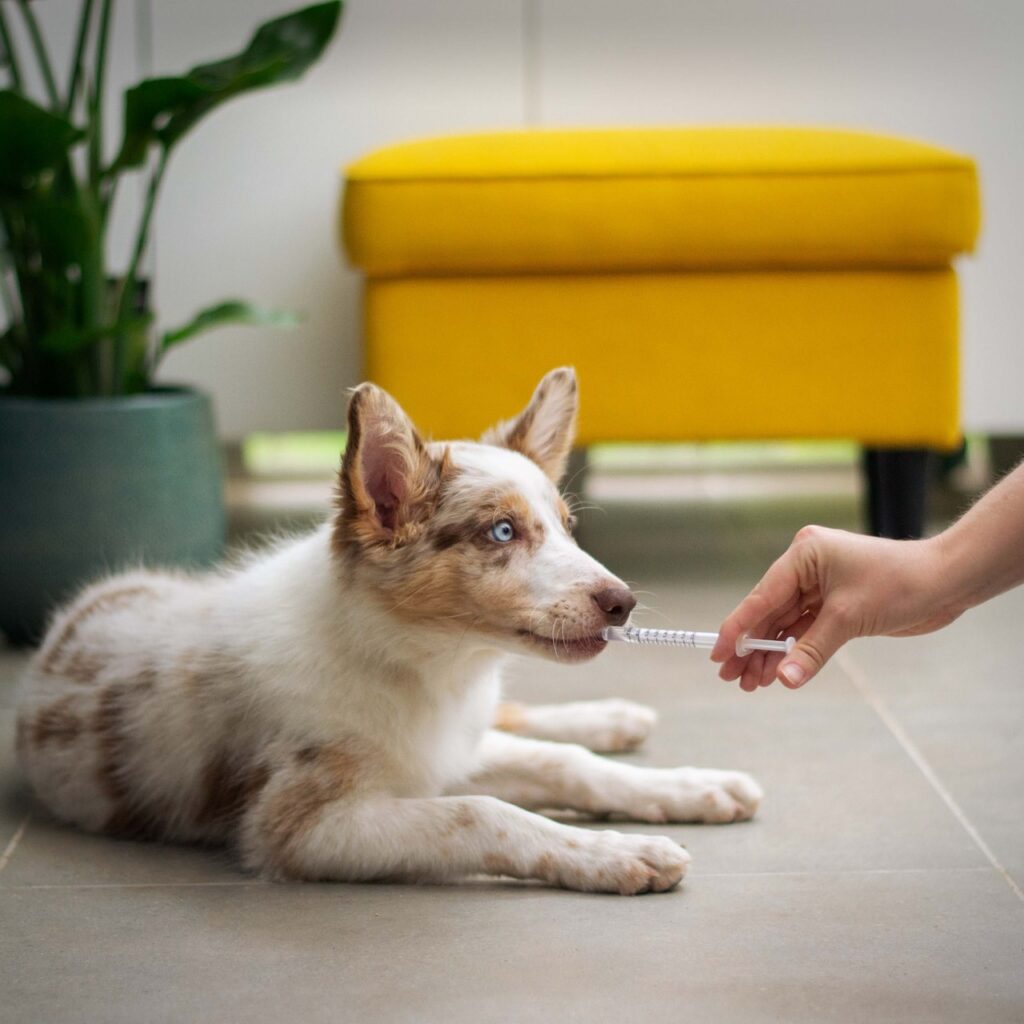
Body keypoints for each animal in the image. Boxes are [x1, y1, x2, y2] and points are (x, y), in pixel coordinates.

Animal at [16, 370, 761, 897]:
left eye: (568, 528)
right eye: (502, 532)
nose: (623, 604)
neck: (421, 665)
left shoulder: (445, 746)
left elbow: (564, 764)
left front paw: (689, 789)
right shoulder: (301, 826)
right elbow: (482, 812)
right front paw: (619, 853)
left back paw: (615, 719)